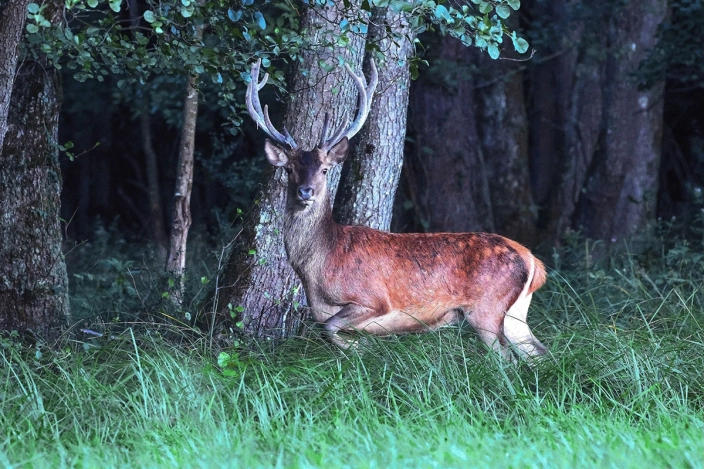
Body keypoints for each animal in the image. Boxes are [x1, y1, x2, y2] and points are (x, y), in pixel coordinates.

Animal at [245, 59, 548, 361]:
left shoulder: (374, 299)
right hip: (515, 313)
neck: (319, 268)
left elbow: (330, 328)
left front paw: (361, 348)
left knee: (507, 358)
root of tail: (533, 261)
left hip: (487, 308)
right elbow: (327, 328)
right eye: (289, 169)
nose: (305, 191)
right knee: (539, 353)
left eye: (324, 169)